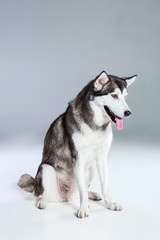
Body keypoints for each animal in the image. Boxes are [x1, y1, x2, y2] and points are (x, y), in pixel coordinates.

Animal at [18, 71, 136, 218]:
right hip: (46, 168)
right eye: (114, 96)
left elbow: (105, 185)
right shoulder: (78, 158)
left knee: (79, 192)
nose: (128, 113)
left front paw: (110, 203)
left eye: (125, 97)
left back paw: (92, 194)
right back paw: (42, 201)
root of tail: (65, 197)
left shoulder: (102, 157)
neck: (95, 125)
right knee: (40, 194)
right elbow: (82, 192)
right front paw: (83, 209)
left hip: (90, 169)